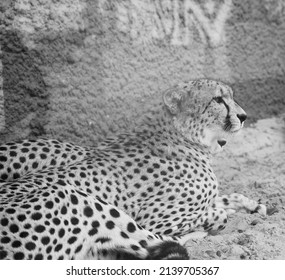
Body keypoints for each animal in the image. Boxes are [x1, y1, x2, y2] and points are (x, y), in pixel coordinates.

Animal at [0, 79, 272, 260]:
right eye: (218, 99)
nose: (244, 116)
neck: (185, 138)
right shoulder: (157, 220)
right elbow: (217, 215)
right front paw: (217, 219)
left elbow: (226, 198)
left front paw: (253, 205)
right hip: (76, 198)